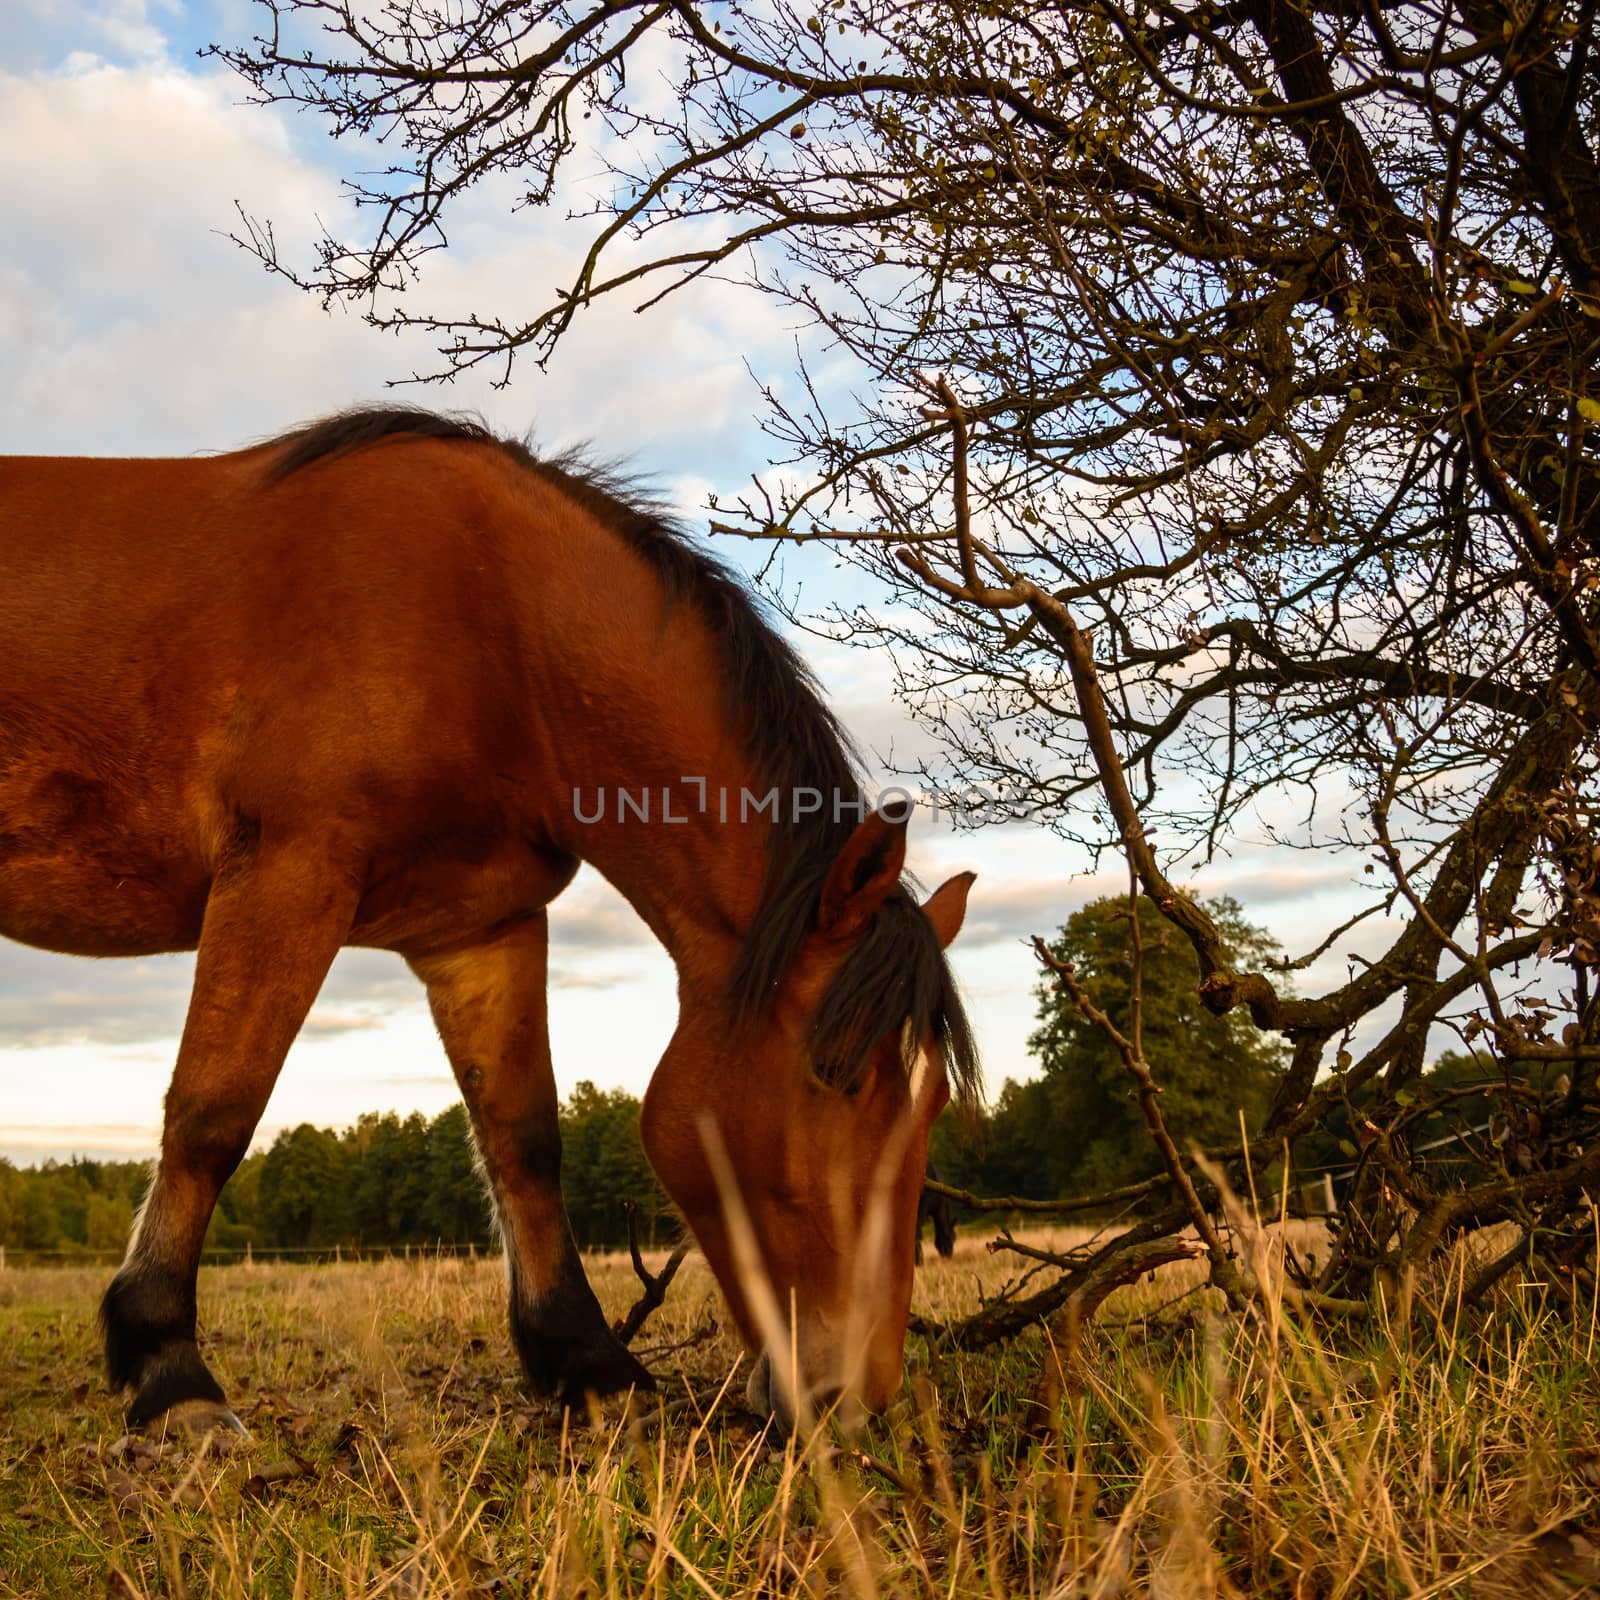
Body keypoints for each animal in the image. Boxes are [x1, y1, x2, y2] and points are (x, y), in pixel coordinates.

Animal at [0, 406, 979, 1433]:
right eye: (834, 1075)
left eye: (932, 1104)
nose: (855, 1396)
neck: (495, 627)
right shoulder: (289, 870)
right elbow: (212, 1113)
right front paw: (170, 1370)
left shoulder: (480, 929)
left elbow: (524, 1139)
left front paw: (585, 1360)